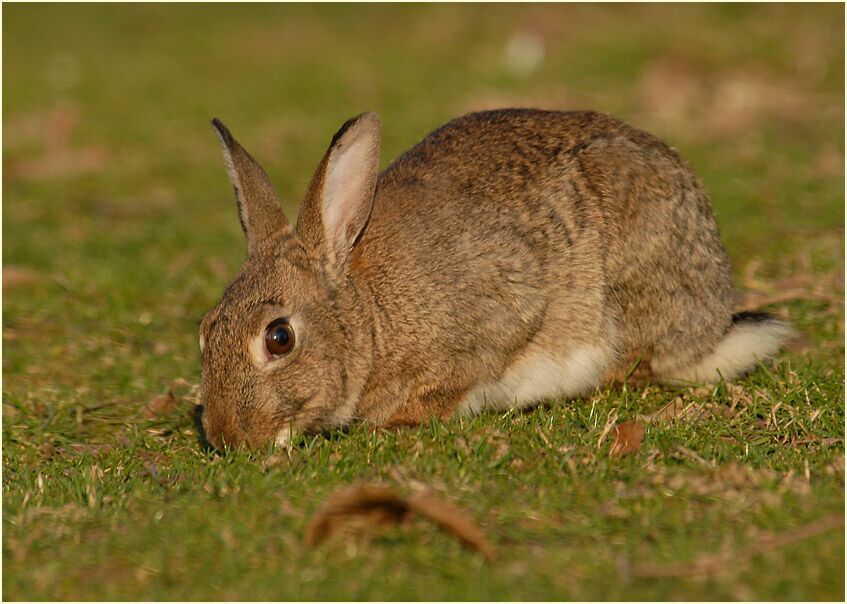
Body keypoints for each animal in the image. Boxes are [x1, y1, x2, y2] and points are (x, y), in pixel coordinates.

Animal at [198, 109, 793, 450]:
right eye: (205, 330)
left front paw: (397, 424)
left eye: (279, 338)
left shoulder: (500, 316)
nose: (228, 439)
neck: (370, 317)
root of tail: (715, 324)